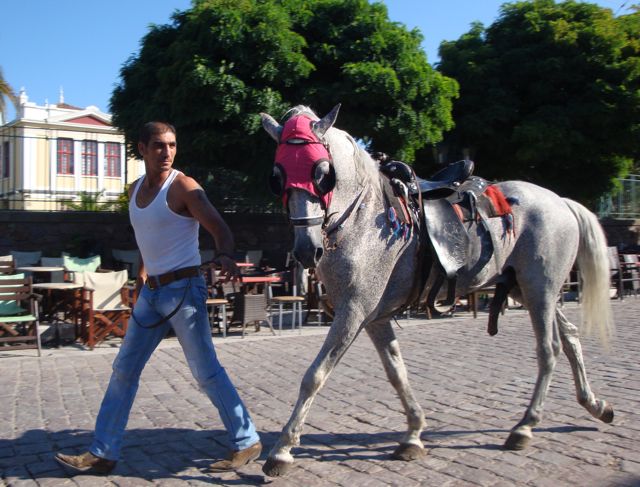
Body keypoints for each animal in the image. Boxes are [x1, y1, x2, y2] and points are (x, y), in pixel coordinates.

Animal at [258, 106, 616, 476]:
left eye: (322, 172)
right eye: (277, 175)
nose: (306, 249)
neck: (365, 219)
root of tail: (560, 201)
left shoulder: (353, 312)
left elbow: (315, 375)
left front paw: (283, 449)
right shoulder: (374, 317)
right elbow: (396, 372)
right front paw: (414, 432)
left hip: (540, 288)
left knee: (549, 349)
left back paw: (525, 426)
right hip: (526, 289)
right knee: (571, 337)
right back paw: (594, 404)